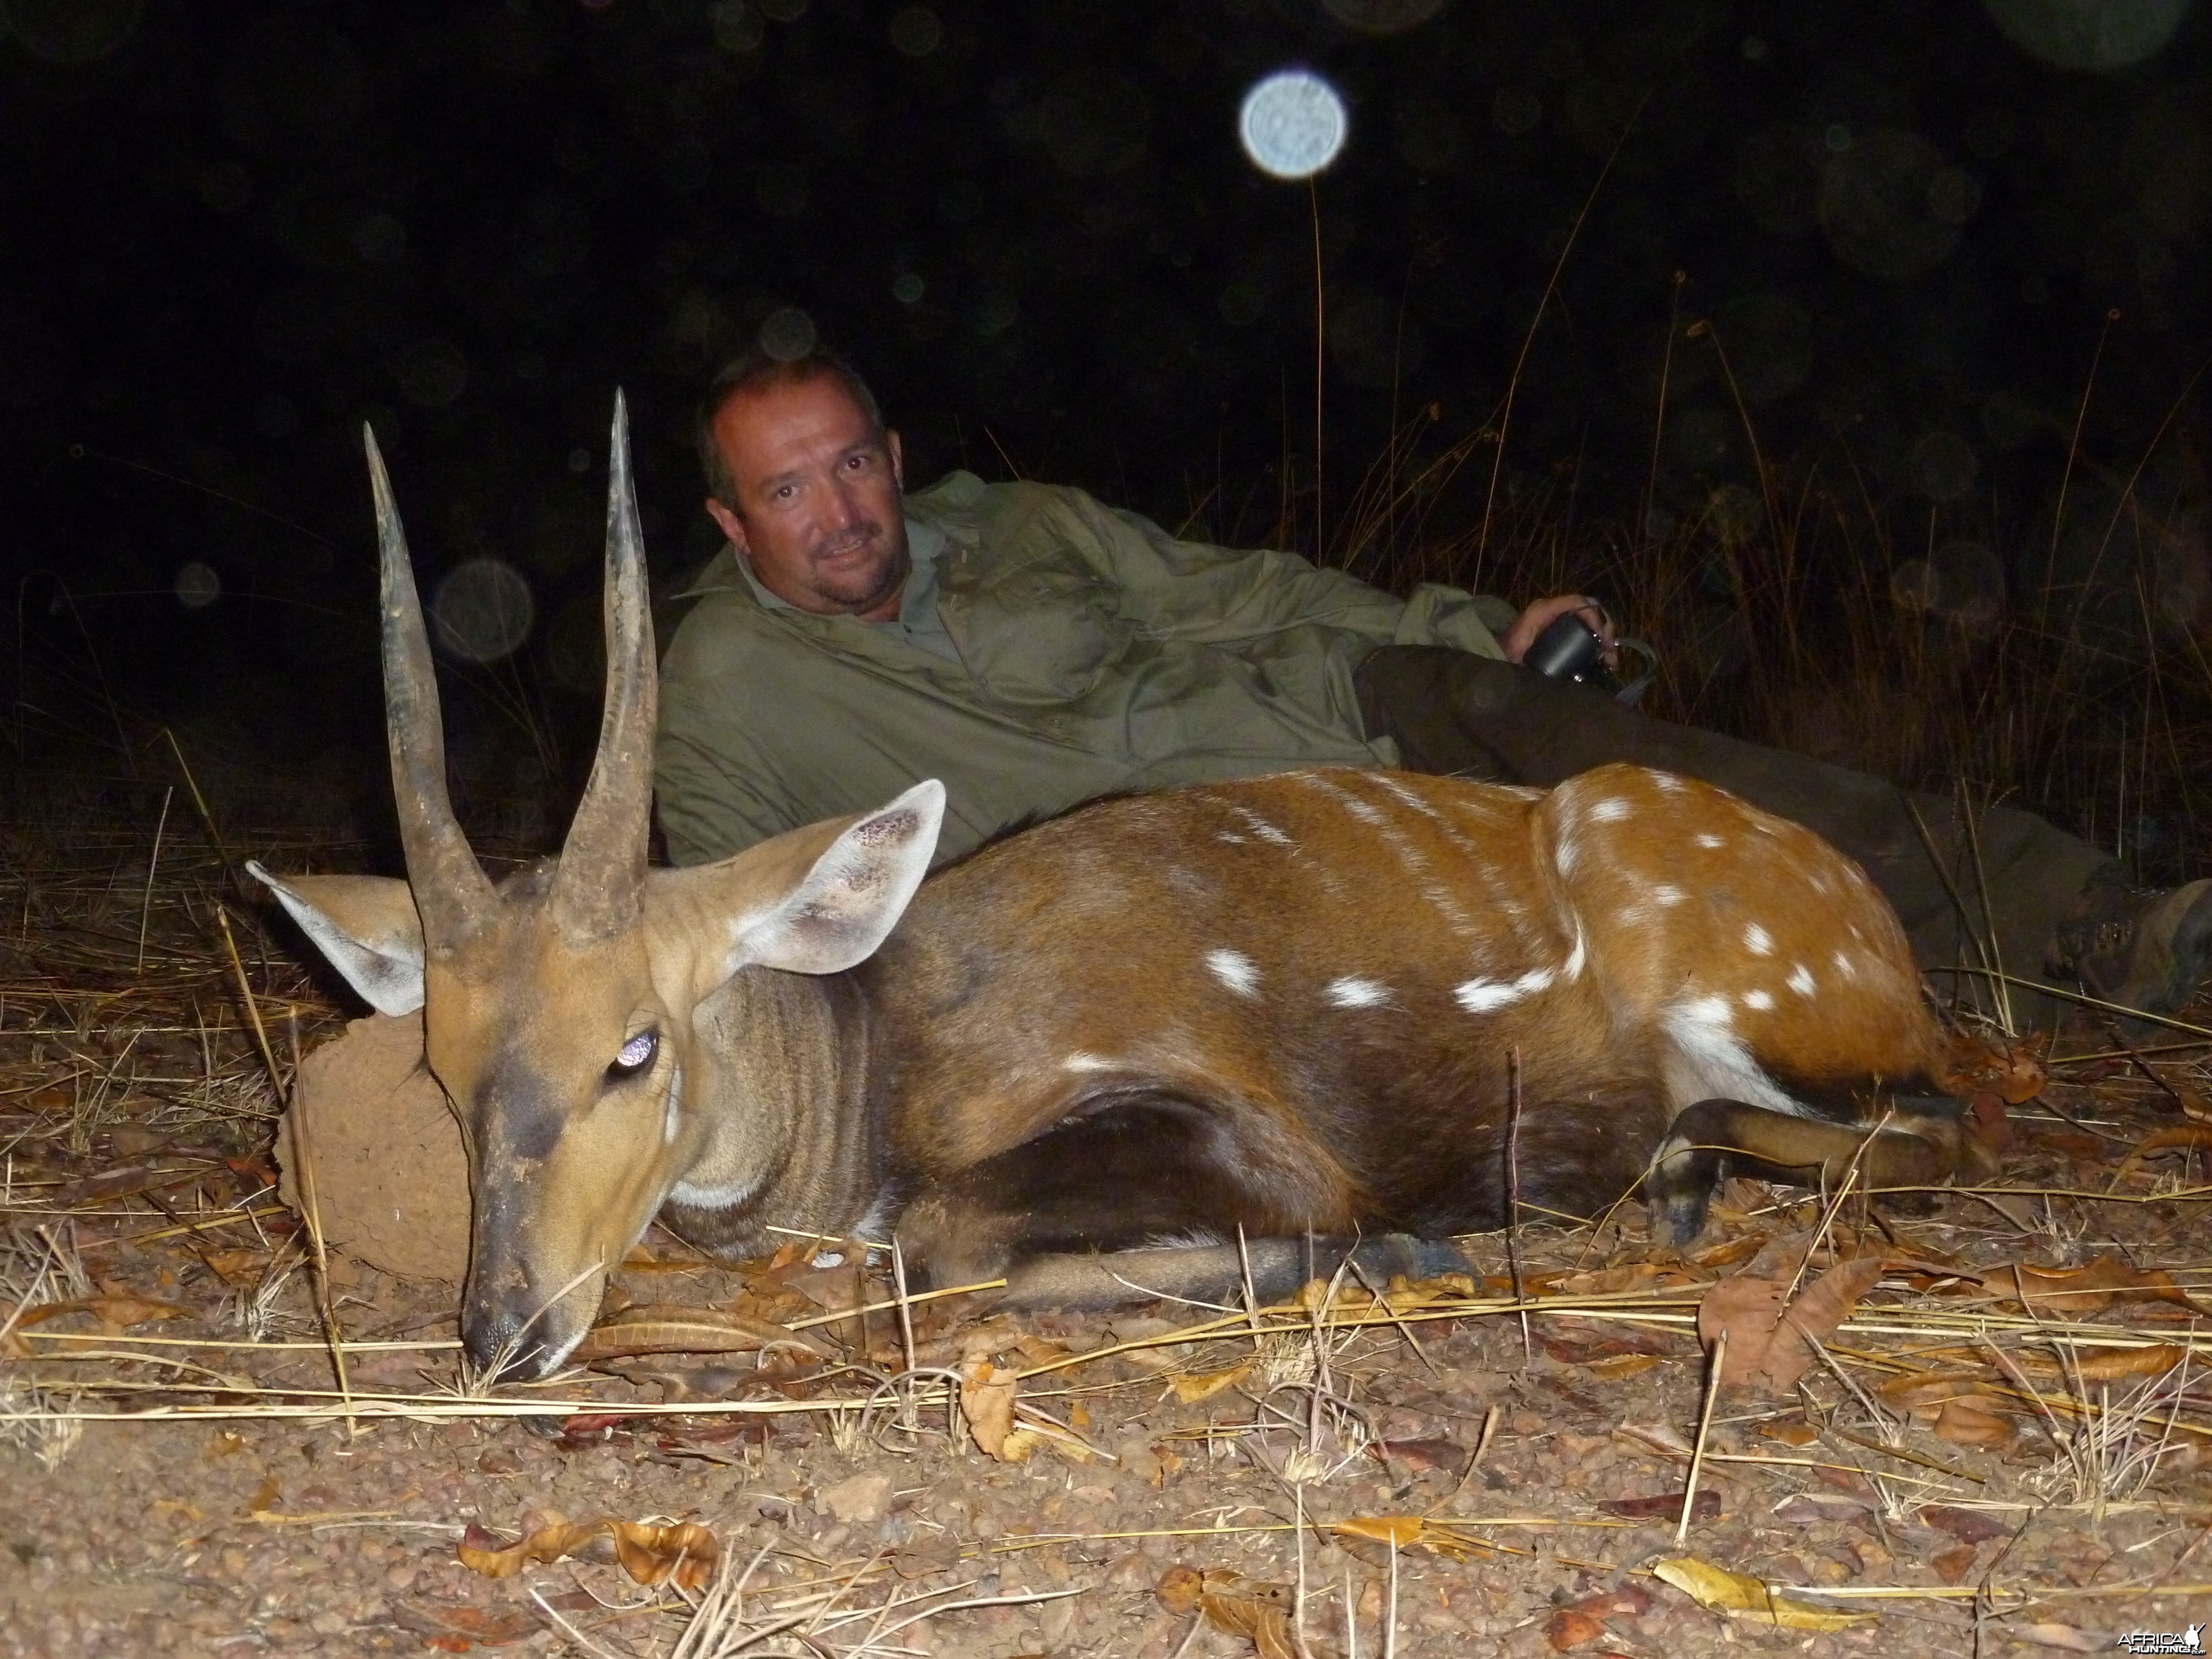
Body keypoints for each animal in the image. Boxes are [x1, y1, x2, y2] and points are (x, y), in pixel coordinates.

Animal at [251, 407, 2000, 1389]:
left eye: (636, 1046)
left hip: (1770, 1009)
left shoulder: (1233, 1125)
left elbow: (940, 1240)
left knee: (1933, 1127)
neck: (879, 1059)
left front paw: (1382, 1256)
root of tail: (1871, 926)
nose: (503, 1335)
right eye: (439, 1072)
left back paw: (1664, 1179)